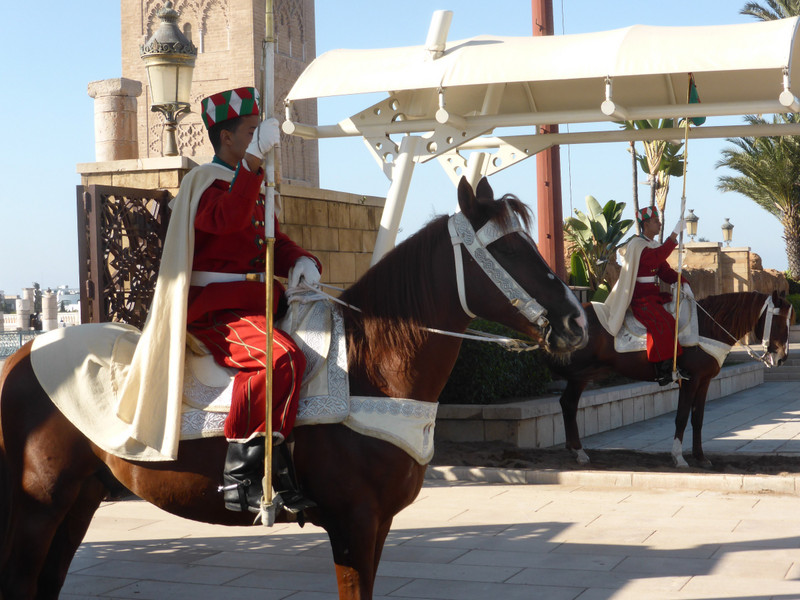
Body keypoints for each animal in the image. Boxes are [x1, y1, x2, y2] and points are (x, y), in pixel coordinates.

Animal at [0, 177, 588, 600]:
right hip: (37, 504)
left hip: (80, 498)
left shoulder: (378, 527)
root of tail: (23, 353)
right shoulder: (353, 525)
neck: (372, 367)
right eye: (508, 251)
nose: (576, 320)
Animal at [548, 288, 792, 466]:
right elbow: (682, 416)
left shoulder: (704, 381)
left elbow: (698, 418)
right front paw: (679, 457)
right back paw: (579, 452)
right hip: (580, 375)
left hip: (582, 376)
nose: (782, 358)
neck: (705, 327)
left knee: (567, 404)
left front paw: (701, 457)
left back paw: (575, 450)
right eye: (779, 321)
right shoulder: (690, 380)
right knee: (569, 404)